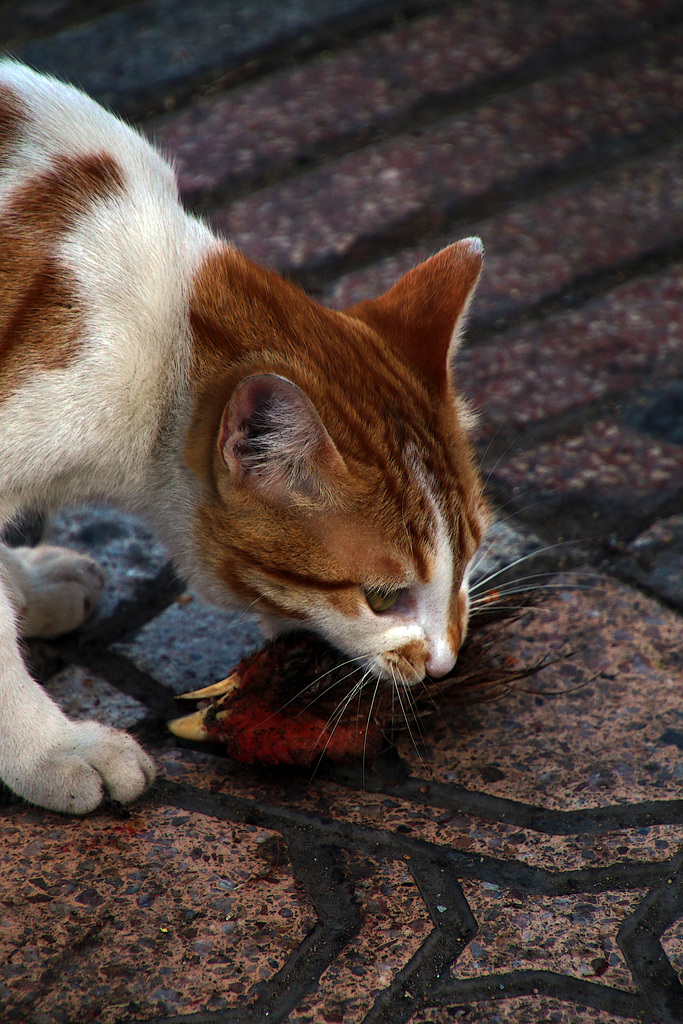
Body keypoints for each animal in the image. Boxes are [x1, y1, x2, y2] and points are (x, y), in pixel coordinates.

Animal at [1, 61, 491, 815]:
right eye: (381, 598)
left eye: (470, 559)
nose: (443, 663)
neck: (159, 339)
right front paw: (53, 749)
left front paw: (25, 583)